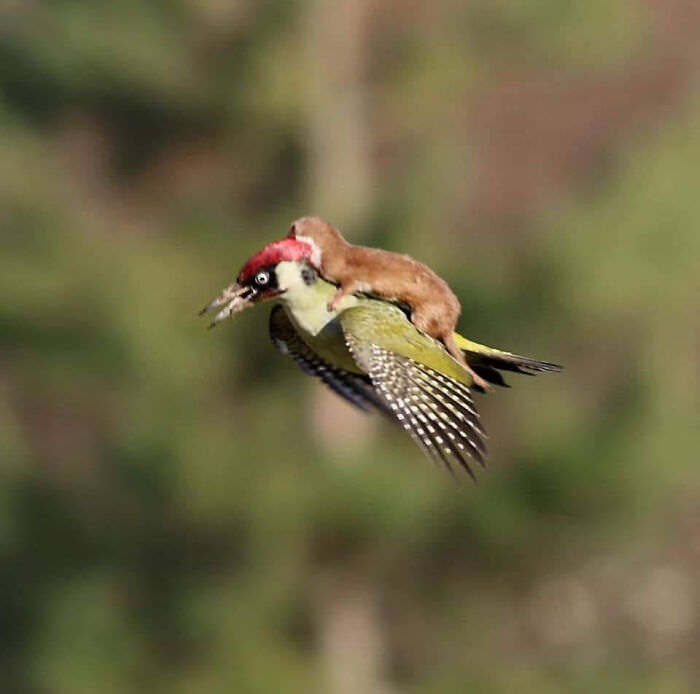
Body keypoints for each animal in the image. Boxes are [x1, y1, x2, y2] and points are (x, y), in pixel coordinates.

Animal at [288, 218, 490, 392]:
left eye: (291, 231)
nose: (286, 236)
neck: (330, 254)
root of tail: (451, 321)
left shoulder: (348, 274)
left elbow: (348, 286)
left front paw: (333, 301)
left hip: (425, 313)